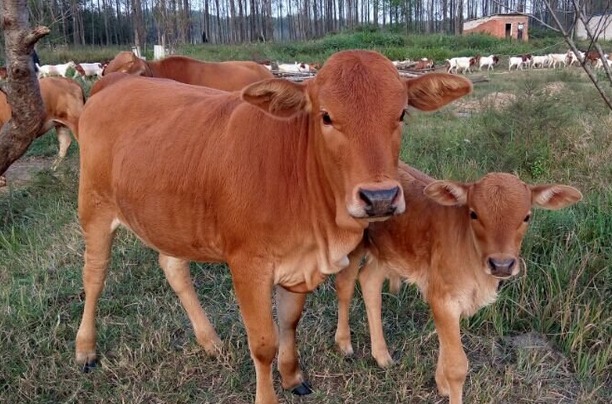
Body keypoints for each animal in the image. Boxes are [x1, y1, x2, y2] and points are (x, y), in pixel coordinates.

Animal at [74, 50, 470, 404]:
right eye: (326, 116)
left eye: (401, 113)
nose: (380, 197)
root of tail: (114, 81)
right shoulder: (248, 265)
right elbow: (264, 342)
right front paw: (268, 394)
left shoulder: (299, 264)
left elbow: (289, 323)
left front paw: (293, 376)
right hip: (94, 209)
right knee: (94, 276)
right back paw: (85, 349)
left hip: (169, 220)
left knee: (173, 268)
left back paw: (210, 341)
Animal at [334, 163, 584, 404]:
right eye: (473, 214)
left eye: (526, 216)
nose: (501, 264)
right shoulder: (443, 298)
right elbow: (457, 366)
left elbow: (445, 344)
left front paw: (441, 384)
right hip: (352, 244)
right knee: (345, 284)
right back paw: (344, 343)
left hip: (388, 251)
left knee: (369, 280)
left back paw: (382, 356)